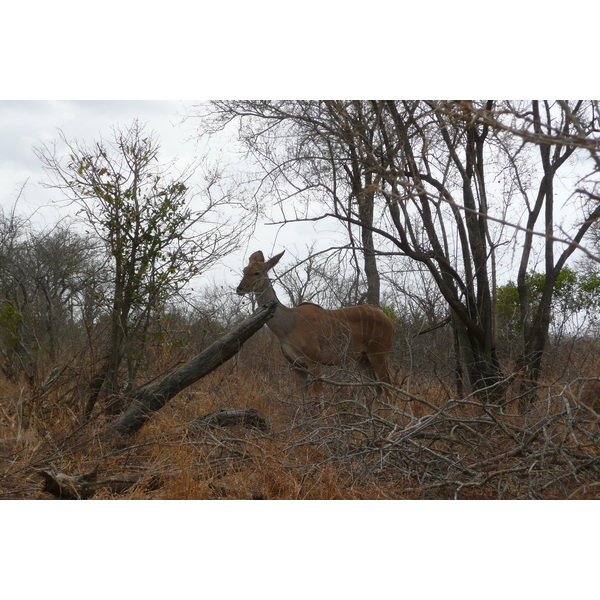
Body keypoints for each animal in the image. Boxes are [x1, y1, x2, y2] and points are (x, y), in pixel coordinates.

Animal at [237, 250, 396, 412]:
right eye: (244, 270)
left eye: (257, 272)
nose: (240, 289)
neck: (288, 325)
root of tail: (390, 320)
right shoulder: (296, 364)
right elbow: (302, 396)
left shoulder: (314, 360)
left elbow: (319, 395)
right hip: (363, 359)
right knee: (378, 388)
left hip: (379, 355)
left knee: (389, 388)